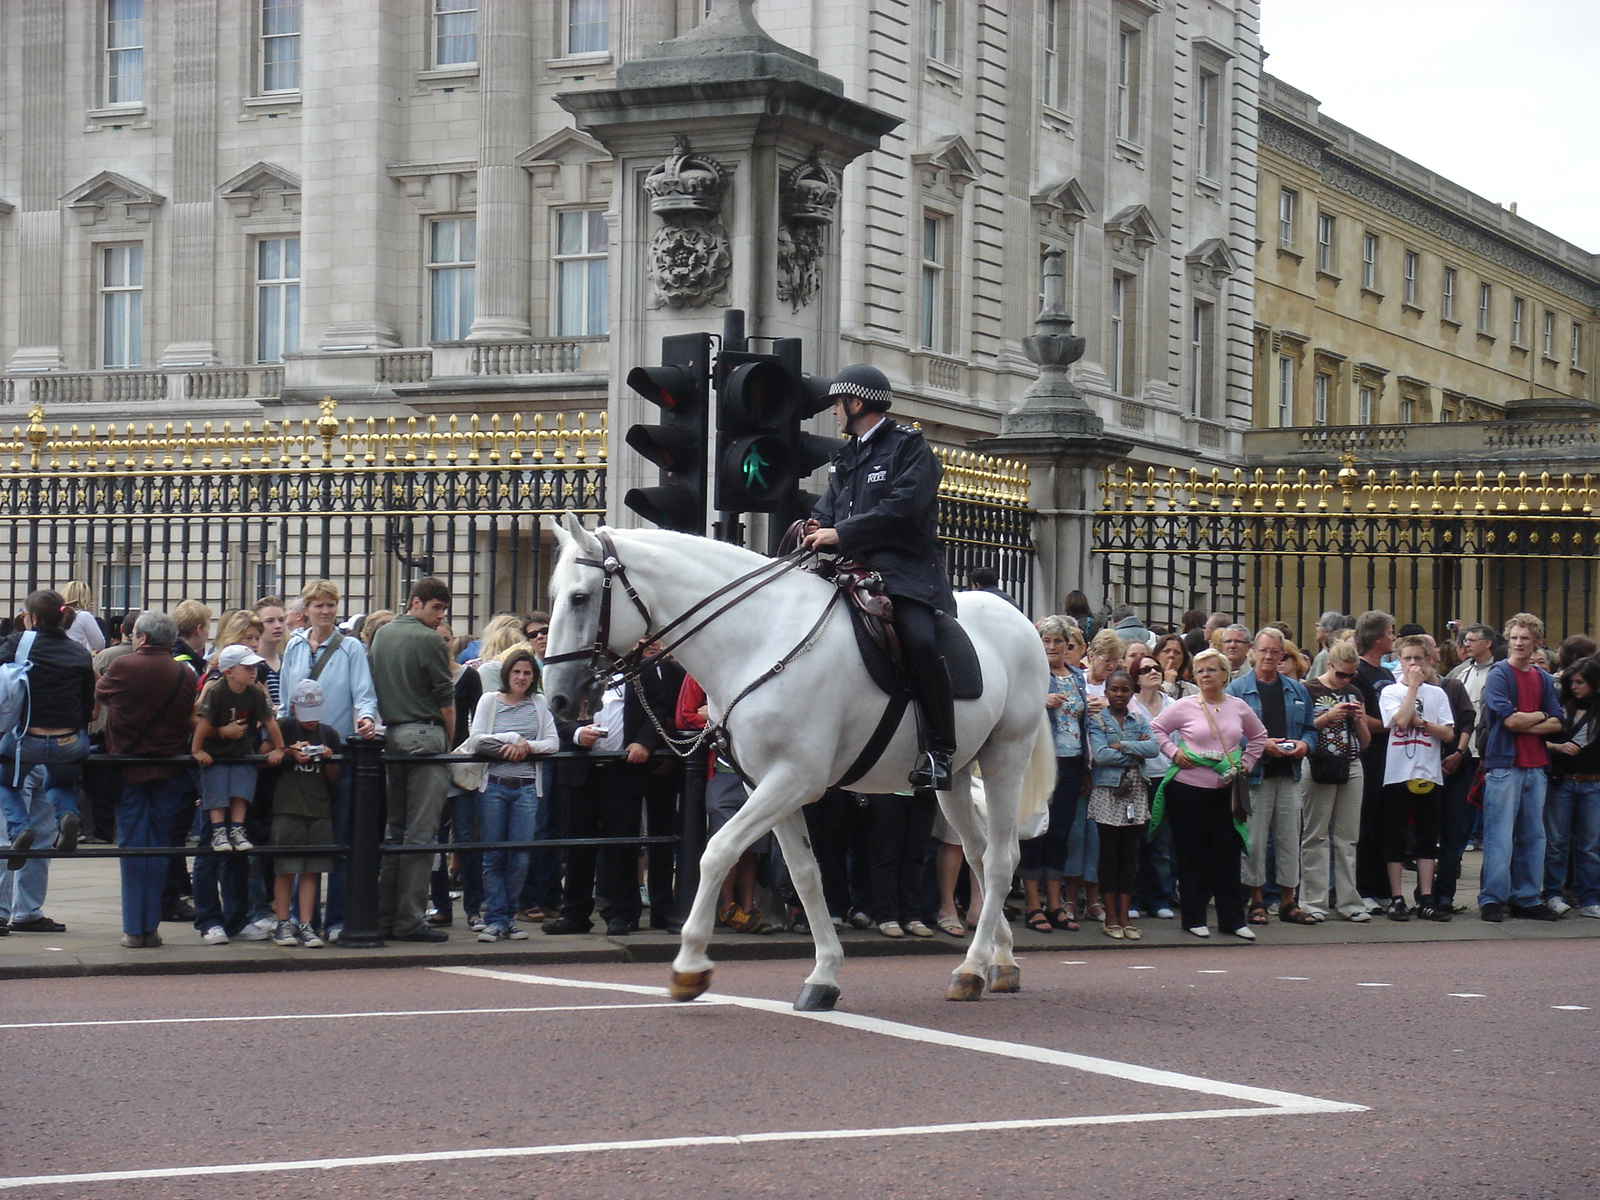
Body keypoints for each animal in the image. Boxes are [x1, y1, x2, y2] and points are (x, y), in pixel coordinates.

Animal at [544, 512, 1056, 1011]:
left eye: (579, 597)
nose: (558, 699)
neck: (758, 638)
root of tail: (1022, 620)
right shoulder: (764, 783)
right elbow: (806, 874)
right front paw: (824, 974)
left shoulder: (794, 779)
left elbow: (718, 851)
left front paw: (689, 966)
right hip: (955, 776)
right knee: (977, 852)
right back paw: (1001, 960)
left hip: (1005, 756)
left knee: (1000, 860)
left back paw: (971, 969)